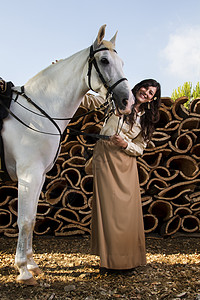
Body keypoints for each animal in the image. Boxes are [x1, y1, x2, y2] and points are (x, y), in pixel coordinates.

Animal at [1, 24, 134, 284]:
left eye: (122, 62)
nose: (127, 100)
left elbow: (32, 219)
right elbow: (24, 220)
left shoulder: (39, 176)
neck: (37, 111)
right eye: (104, 60)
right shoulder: (28, 175)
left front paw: (31, 264)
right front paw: (23, 270)